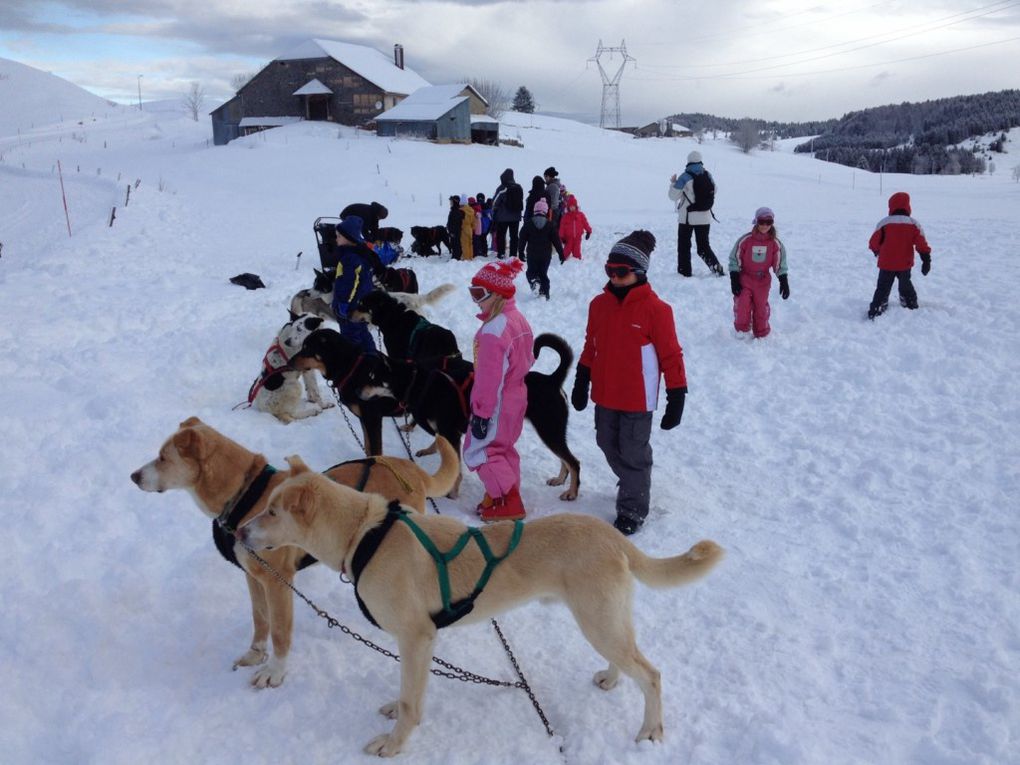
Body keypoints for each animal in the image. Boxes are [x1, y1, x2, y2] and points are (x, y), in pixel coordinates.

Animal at [131, 420, 459, 689]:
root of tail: (412, 470)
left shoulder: (278, 582)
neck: (246, 494)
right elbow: (260, 619)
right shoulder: (254, 577)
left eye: (163, 458)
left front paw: (275, 673)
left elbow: (279, 631)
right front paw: (255, 654)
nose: (133, 476)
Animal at [236, 459, 726, 758]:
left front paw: (394, 745)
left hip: (598, 622)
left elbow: (412, 702)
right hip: (604, 622)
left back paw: (650, 732)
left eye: (273, 511)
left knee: (652, 674)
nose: (238, 531)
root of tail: (612, 536)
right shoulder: (418, 646)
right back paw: (610, 677)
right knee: (629, 661)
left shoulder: (416, 638)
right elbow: (409, 693)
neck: (366, 535)